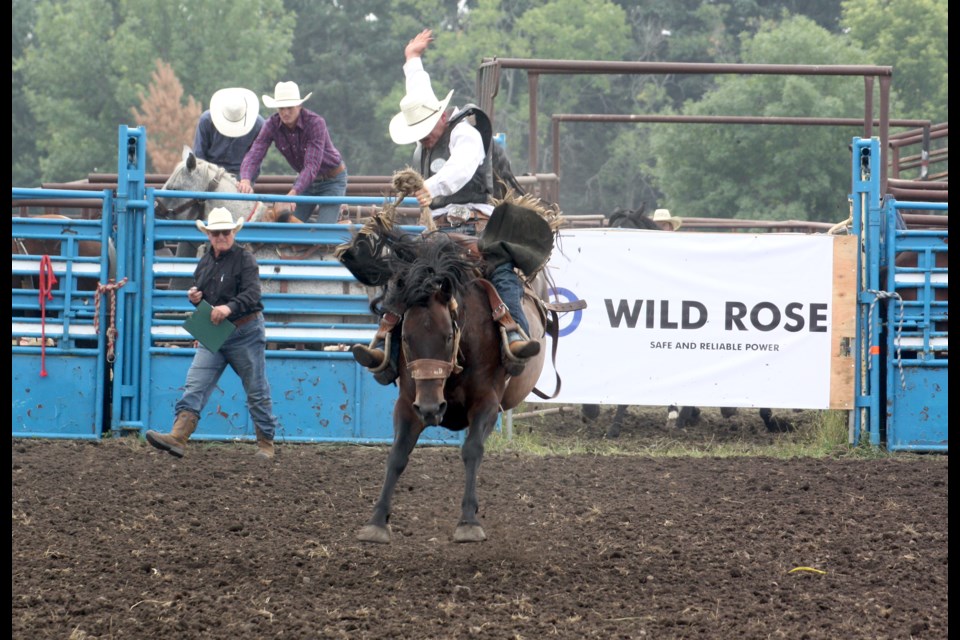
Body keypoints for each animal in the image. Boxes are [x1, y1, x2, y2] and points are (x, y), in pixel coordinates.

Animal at [356, 232, 544, 544]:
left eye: (447, 336)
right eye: (405, 338)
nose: (431, 409)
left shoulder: (487, 403)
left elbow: (472, 450)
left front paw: (468, 521)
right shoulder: (408, 403)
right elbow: (397, 455)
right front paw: (377, 521)